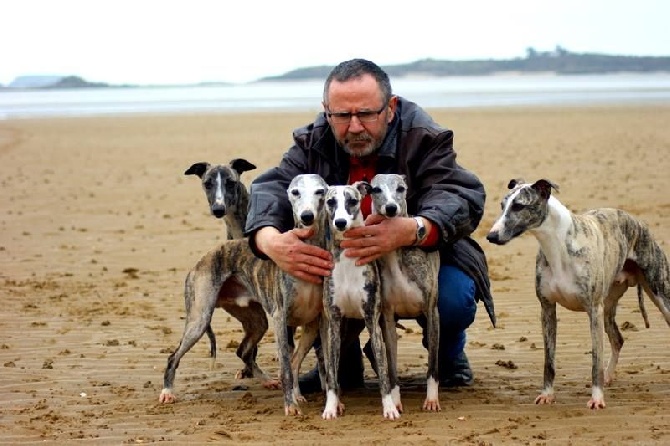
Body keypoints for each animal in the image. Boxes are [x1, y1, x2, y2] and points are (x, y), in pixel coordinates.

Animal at [322, 180, 402, 418]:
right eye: (330, 201)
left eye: (352, 200)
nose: (340, 222)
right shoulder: (333, 324)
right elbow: (332, 375)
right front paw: (331, 407)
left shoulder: (372, 321)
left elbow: (384, 375)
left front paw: (389, 407)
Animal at [370, 173, 444, 412]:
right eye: (376, 189)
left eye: (401, 188)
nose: (391, 208)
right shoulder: (387, 319)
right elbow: (391, 368)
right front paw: (395, 401)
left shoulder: (432, 312)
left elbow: (433, 365)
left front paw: (431, 399)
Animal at [488, 179, 670, 410]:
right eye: (502, 205)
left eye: (519, 206)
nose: (491, 236)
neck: (558, 247)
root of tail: (635, 220)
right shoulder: (547, 309)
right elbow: (549, 361)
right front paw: (547, 395)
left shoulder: (593, 310)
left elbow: (595, 360)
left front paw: (597, 398)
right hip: (608, 305)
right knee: (617, 339)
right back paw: (608, 376)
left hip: (659, 294)